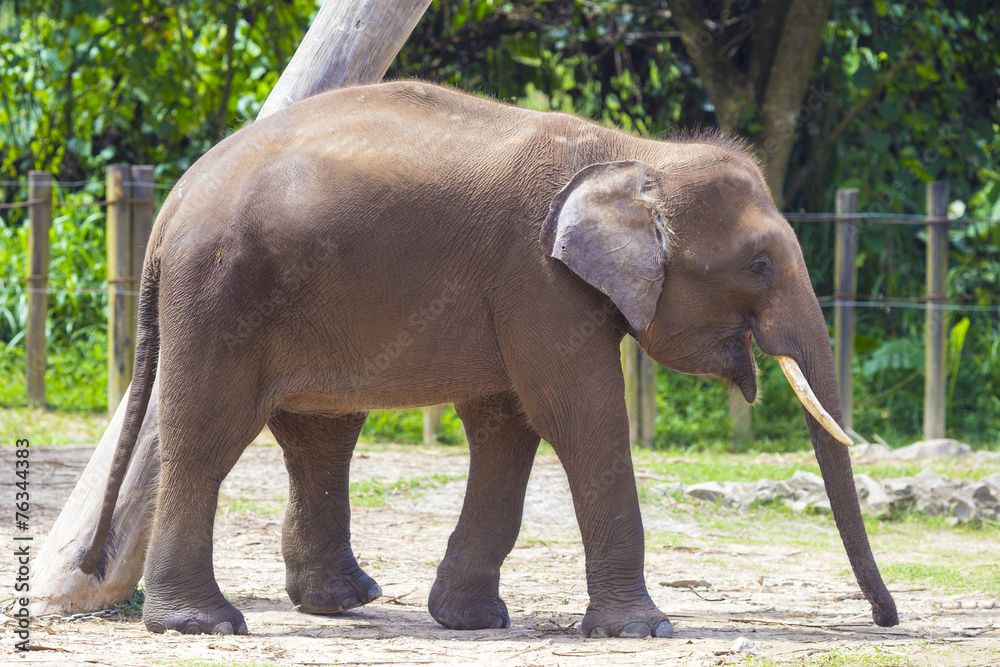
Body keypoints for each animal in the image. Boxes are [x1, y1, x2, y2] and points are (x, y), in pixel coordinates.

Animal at [80, 80, 898, 638]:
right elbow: (580, 419)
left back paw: (346, 600)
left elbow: (508, 426)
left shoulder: (526, 293)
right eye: (759, 265)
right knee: (207, 436)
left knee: (321, 434)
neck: (637, 154)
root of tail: (172, 205)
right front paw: (646, 630)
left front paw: (471, 620)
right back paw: (203, 624)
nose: (886, 620)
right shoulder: (539, 280)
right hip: (219, 293)